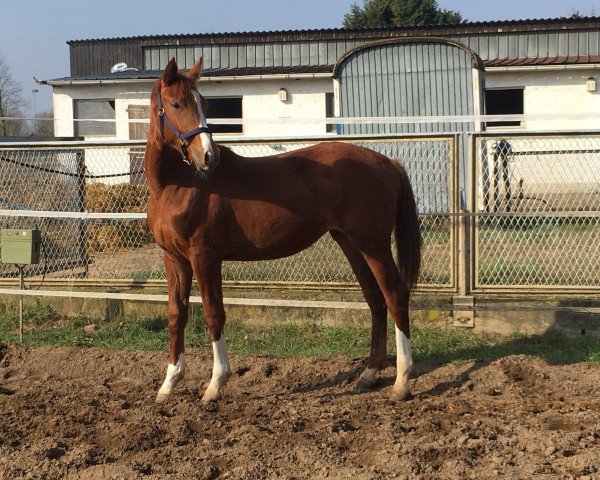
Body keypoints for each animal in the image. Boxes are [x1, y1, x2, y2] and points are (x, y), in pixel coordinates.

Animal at [145, 58, 422, 404]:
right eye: (176, 104)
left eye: (205, 104)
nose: (209, 156)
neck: (180, 185)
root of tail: (387, 162)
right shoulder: (175, 259)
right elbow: (175, 314)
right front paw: (168, 384)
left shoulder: (204, 256)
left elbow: (213, 313)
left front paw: (215, 384)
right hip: (351, 243)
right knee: (375, 299)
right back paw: (369, 374)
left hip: (373, 244)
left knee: (395, 295)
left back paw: (402, 381)